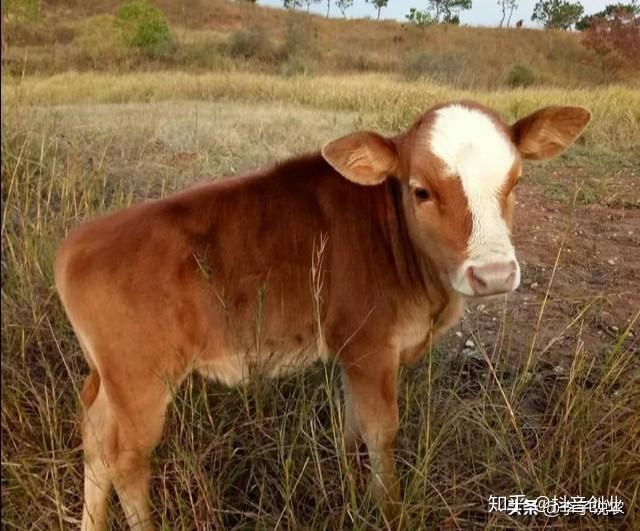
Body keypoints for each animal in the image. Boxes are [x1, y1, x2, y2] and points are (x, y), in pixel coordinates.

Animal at [53, 102, 592, 528]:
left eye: (516, 182)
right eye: (421, 190)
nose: (494, 273)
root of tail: (78, 242)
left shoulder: (356, 355)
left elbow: (352, 427)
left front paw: (352, 492)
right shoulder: (371, 349)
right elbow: (381, 431)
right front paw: (388, 511)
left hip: (111, 382)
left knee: (94, 439)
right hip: (142, 384)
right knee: (126, 459)